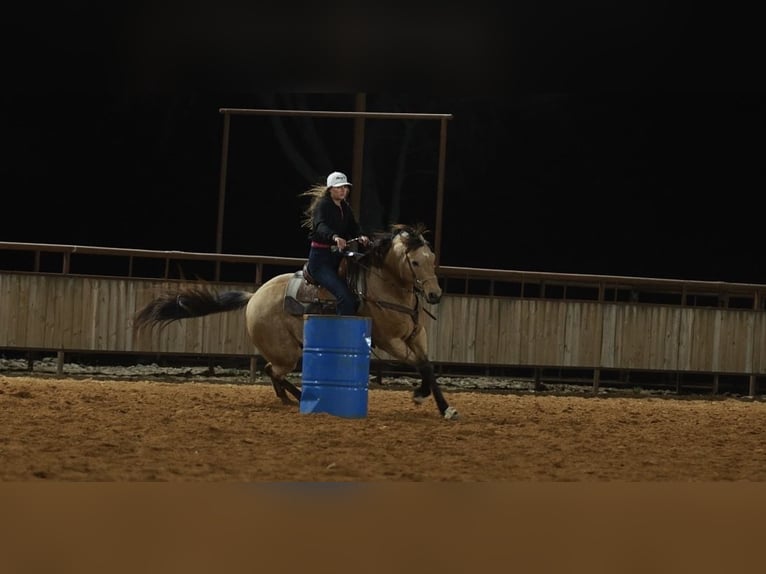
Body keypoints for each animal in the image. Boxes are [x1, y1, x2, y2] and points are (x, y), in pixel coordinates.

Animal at [133, 224, 459, 420]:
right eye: (414, 262)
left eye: (432, 259)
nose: (434, 294)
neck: (386, 286)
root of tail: (254, 297)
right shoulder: (390, 341)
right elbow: (422, 365)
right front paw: (422, 396)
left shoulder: (416, 336)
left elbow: (428, 366)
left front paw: (441, 405)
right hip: (287, 353)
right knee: (272, 370)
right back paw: (300, 397)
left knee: (272, 371)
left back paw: (294, 398)